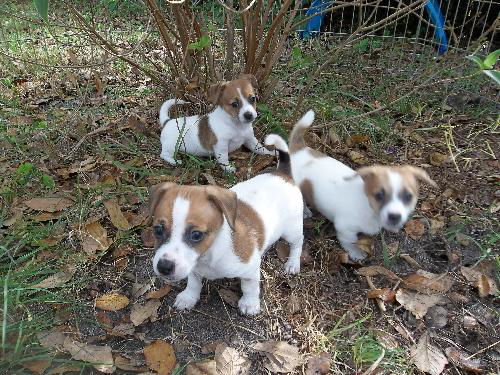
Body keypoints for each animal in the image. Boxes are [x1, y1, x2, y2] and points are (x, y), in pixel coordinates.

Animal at [149, 131, 304, 316]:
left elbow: (250, 287)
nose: (164, 267)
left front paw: (250, 304)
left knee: (298, 243)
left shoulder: (250, 269)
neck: (209, 255)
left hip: (291, 230)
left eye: (196, 235)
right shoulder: (194, 269)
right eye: (158, 230)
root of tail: (283, 174)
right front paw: (189, 297)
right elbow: (194, 282)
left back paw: (293, 263)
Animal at [288, 110, 436, 260]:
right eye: (378, 195)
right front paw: (356, 253)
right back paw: (305, 211)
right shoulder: (345, 229)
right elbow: (350, 242)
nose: (394, 216)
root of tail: (299, 149)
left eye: (408, 196)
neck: (368, 207)